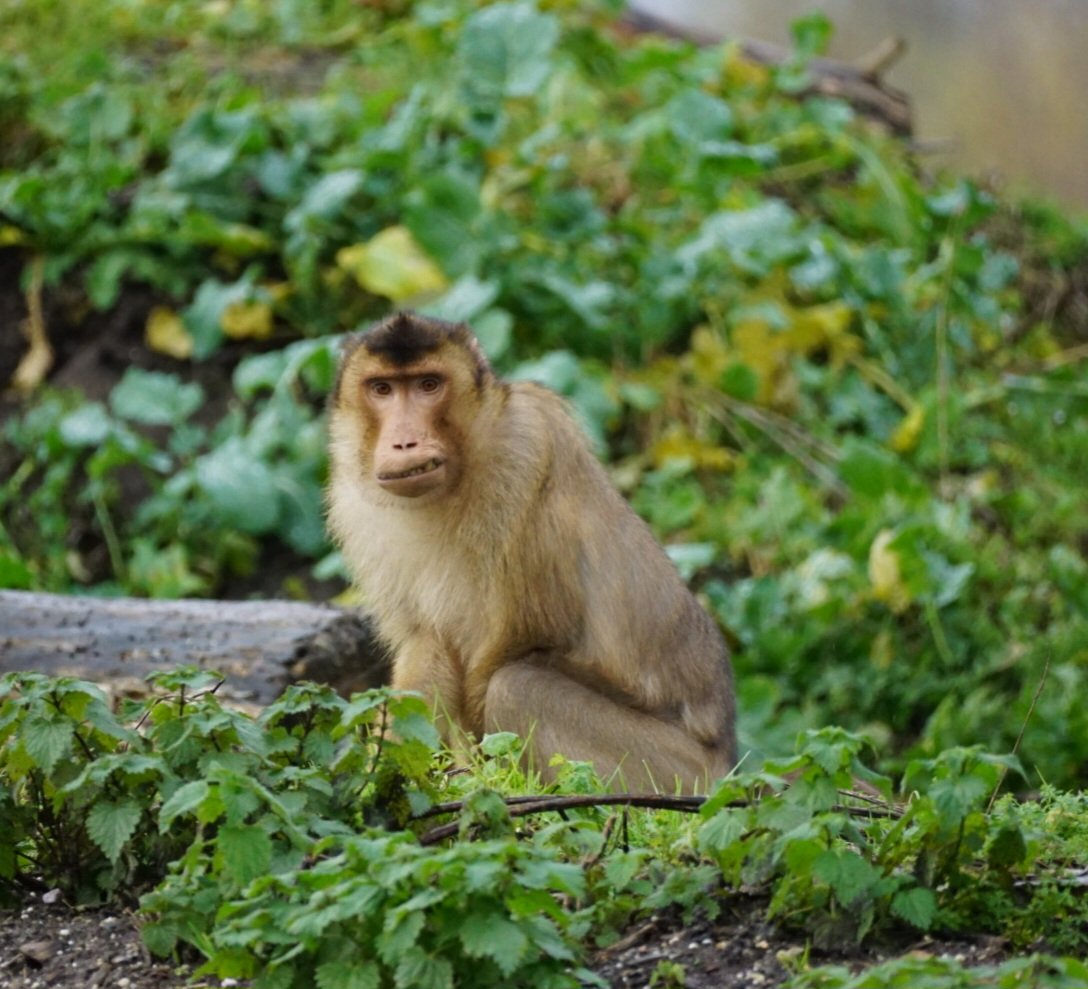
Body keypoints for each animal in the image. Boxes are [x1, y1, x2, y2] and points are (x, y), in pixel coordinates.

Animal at [326, 311, 736, 792]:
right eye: (382, 388)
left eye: (428, 384)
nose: (404, 442)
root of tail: (728, 764)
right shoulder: (356, 505)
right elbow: (424, 643)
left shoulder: (527, 448)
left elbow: (527, 636)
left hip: (675, 774)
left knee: (517, 687)